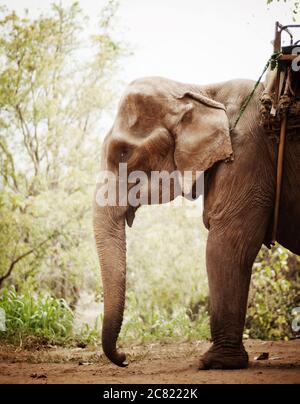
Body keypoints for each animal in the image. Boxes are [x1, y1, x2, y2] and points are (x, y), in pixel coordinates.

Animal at [93, 75, 300, 370]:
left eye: (123, 154)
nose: (125, 359)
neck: (200, 91)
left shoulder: (247, 155)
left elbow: (227, 243)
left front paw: (216, 363)